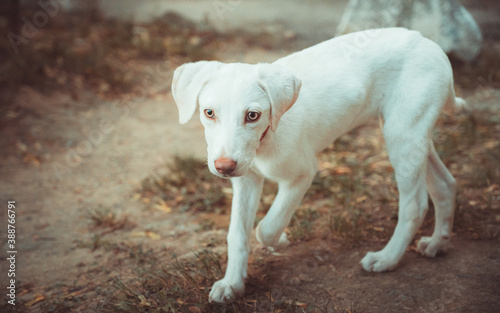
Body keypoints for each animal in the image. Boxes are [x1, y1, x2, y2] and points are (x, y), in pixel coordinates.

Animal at [173, 28, 460, 302]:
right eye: (209, 113)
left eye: (252, 115)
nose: (224, 167)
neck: (266, 139)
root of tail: (428, 42)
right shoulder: (246, 179)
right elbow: (237, 233)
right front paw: (232, 283)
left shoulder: (302, 174)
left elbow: (267, 227)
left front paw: (281, 241)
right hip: (414, 136)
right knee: (445, 184)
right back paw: (438, 244)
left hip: (402, 136)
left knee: (415, 205)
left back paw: (387, 258)